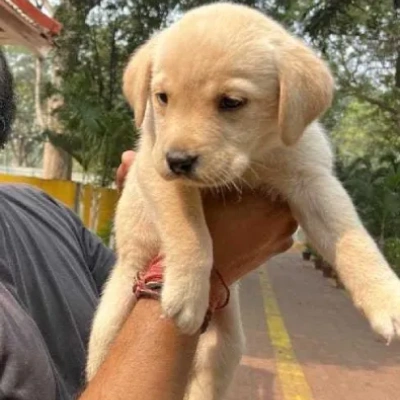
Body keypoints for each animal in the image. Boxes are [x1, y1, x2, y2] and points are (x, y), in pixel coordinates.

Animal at [86, 2, 400, 396]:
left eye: (231, 102)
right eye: (162, 98)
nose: (178, 160)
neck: (253, 159)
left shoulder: (312, 179)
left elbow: (354, 241)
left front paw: (387, 299)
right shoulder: (153, 167)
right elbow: (189, 231)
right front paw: (187, 293)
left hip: (227, 347)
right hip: (111, 318)